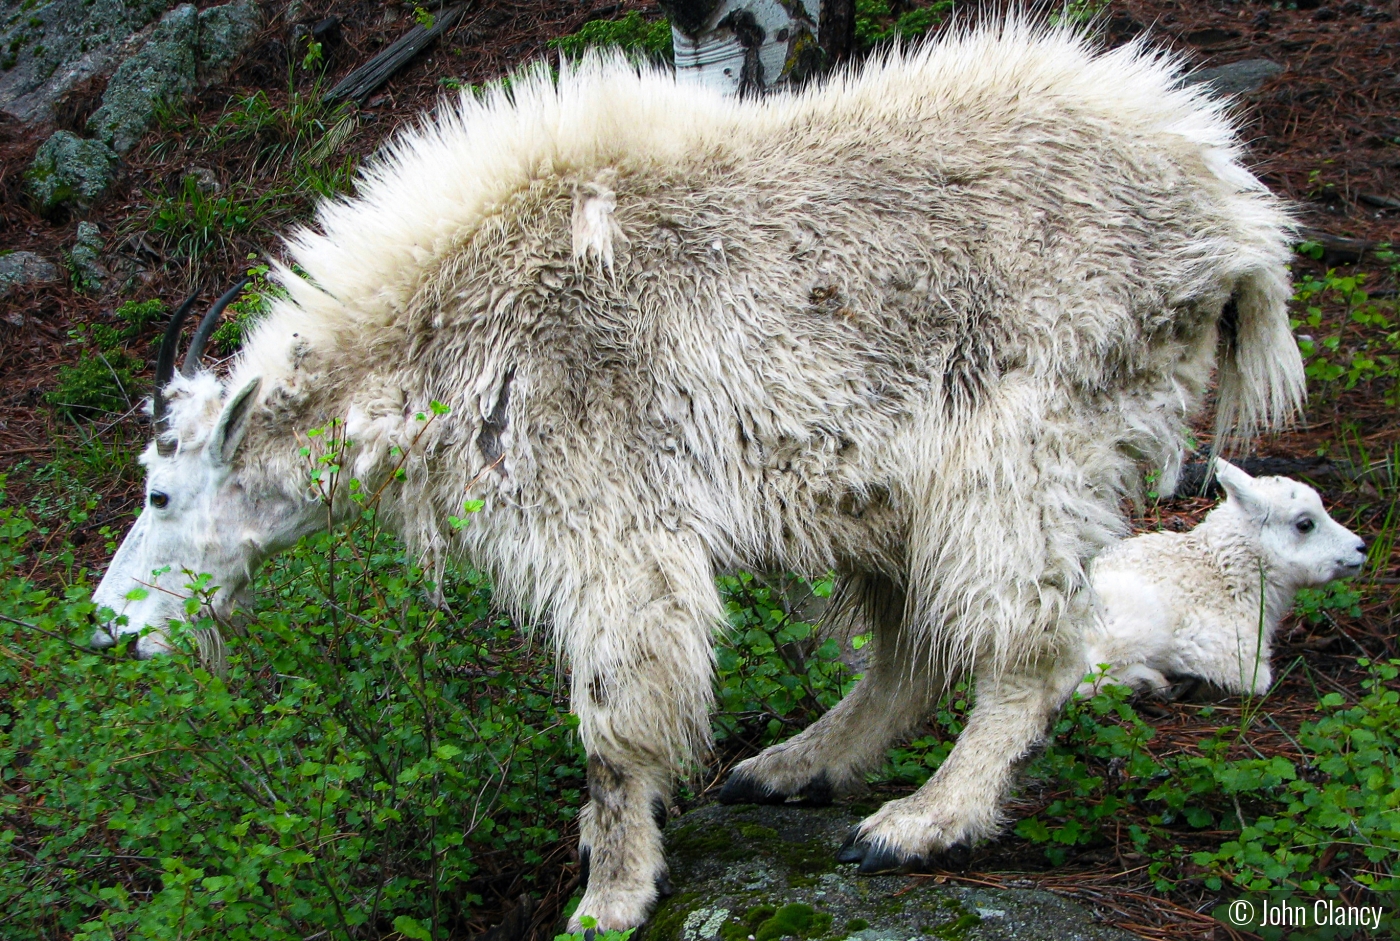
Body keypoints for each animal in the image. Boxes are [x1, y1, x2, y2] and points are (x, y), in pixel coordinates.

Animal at [93, 22, 1304, 935]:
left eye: (160, 492)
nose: (110, 627)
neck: (435, 330)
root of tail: (1236, 219)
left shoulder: (603, 522)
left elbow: (610, 719)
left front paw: (610, 896)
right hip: (890, 487)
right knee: (910, 646)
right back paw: (792, 766)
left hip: (1026, 441)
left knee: (1027, 641)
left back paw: (916, 822)